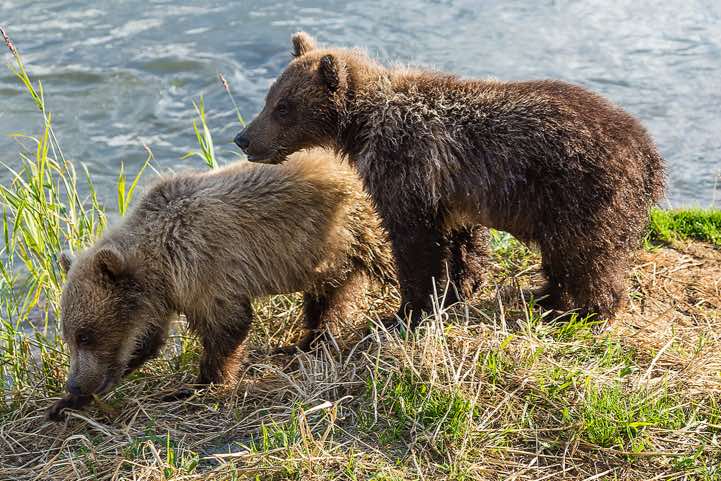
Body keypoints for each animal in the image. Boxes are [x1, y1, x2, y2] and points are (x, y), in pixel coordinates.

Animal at [46, 148, 396, 421]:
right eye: (68, 336)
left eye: (85, 335)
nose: (74, 383)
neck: (159, 265)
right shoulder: (160, 300)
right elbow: (146, 342)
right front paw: (65, 404)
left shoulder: (205, 269)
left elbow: (227, 327)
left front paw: (196, 386)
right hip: (328, 252)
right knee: (330, 292)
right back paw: (306, 342)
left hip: (359, 224)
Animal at [234, 32, 666, 327]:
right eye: (270, 98)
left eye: (284, 107)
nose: (243, 138)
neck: (363, 125)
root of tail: (649, 152)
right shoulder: (455, 190)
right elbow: (463, 242)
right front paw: (461, 288)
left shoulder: (406, 169)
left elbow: (415, 246)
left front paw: (405, 312)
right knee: (562, 257)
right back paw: (544, 296)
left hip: (583, 193)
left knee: (589, 255)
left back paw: (589, 312)